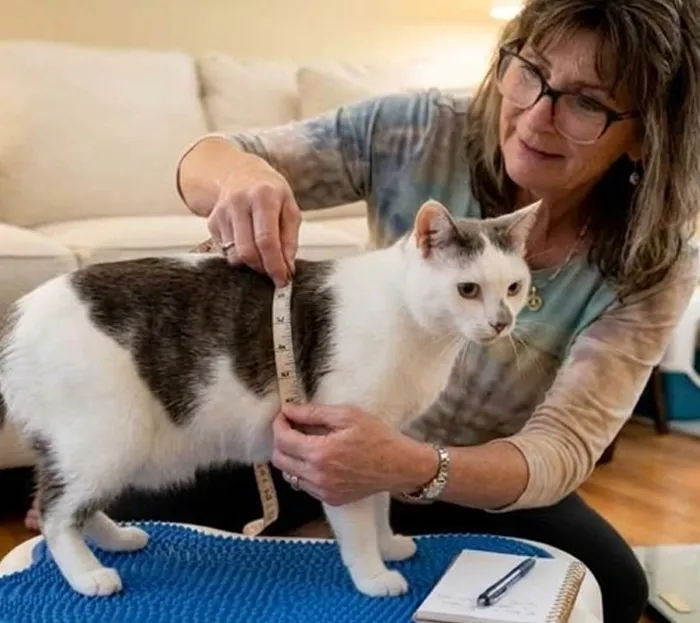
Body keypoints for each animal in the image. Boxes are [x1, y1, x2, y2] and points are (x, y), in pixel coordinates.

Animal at [0, 198, 538, 599]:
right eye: (467, 289)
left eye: (514, 287)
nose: (501, 322)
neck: (419, 333)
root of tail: (18, 314)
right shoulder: (334, 440)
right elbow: (356, 520)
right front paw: (372, 573)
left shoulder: (376, 441)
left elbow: (380, 499)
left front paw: (388, 545)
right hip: (107, 437)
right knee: (54, 512)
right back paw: (88, 575)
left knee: (76, 506)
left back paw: (118, 538)